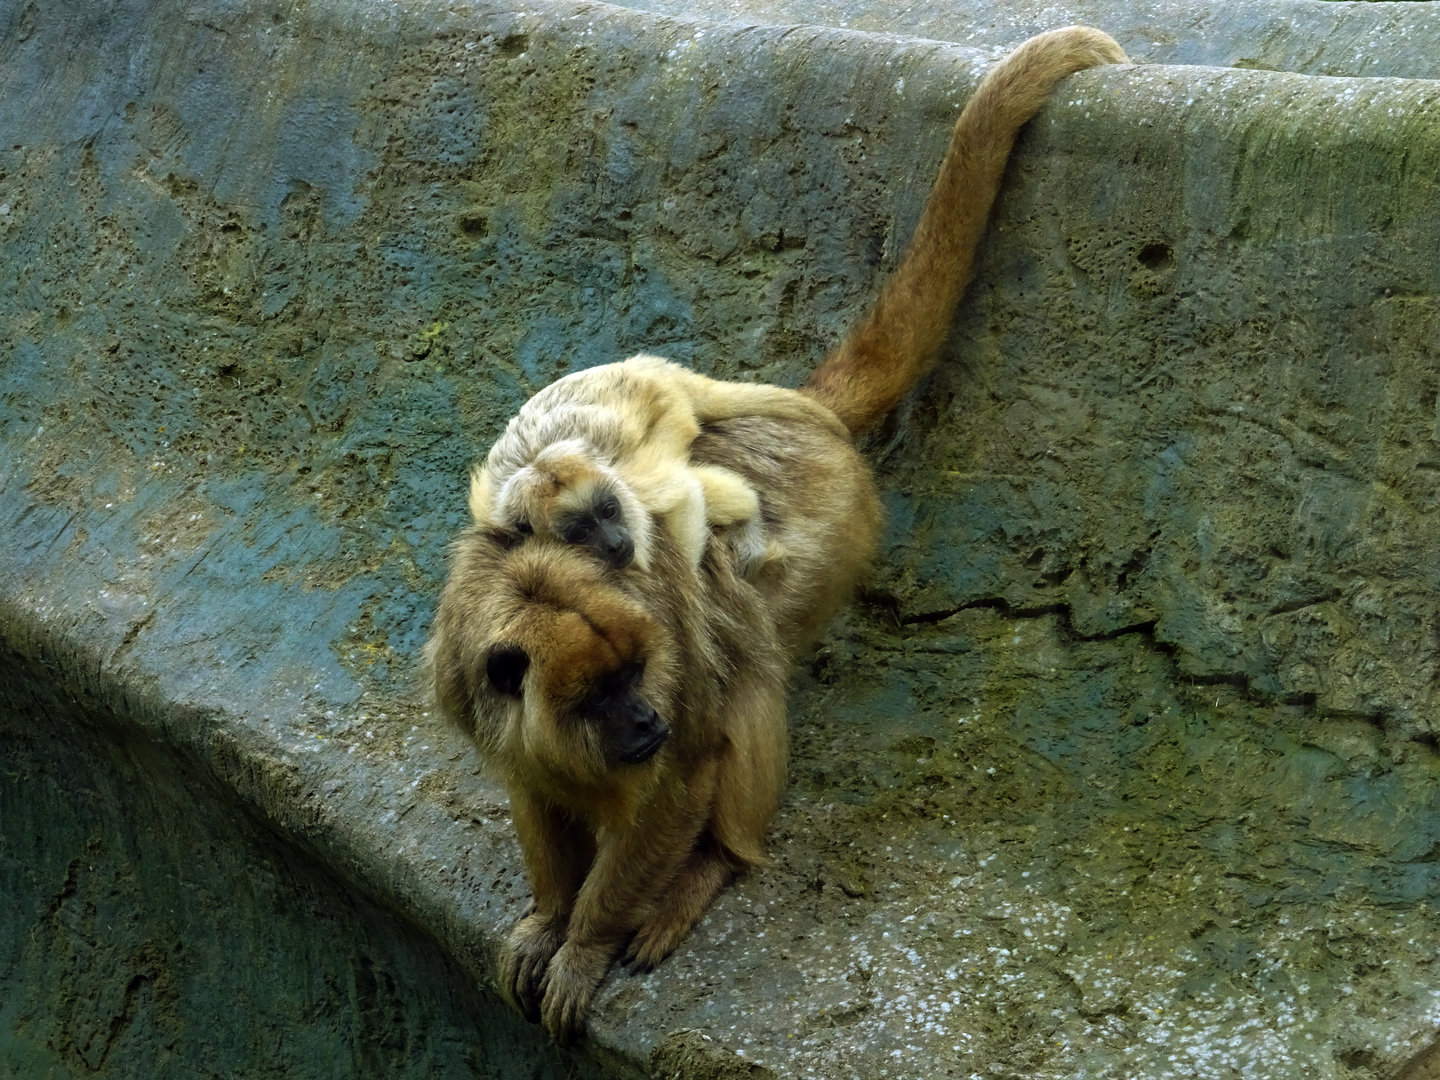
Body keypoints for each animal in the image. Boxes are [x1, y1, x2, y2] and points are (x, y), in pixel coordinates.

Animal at [468, 353, 848, 575]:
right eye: (580, 533)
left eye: (609, 511)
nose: (615, 543)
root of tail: (643, 365)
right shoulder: (494, 517)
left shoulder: (637, 484)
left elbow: (686, 495)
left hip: (670, 406)